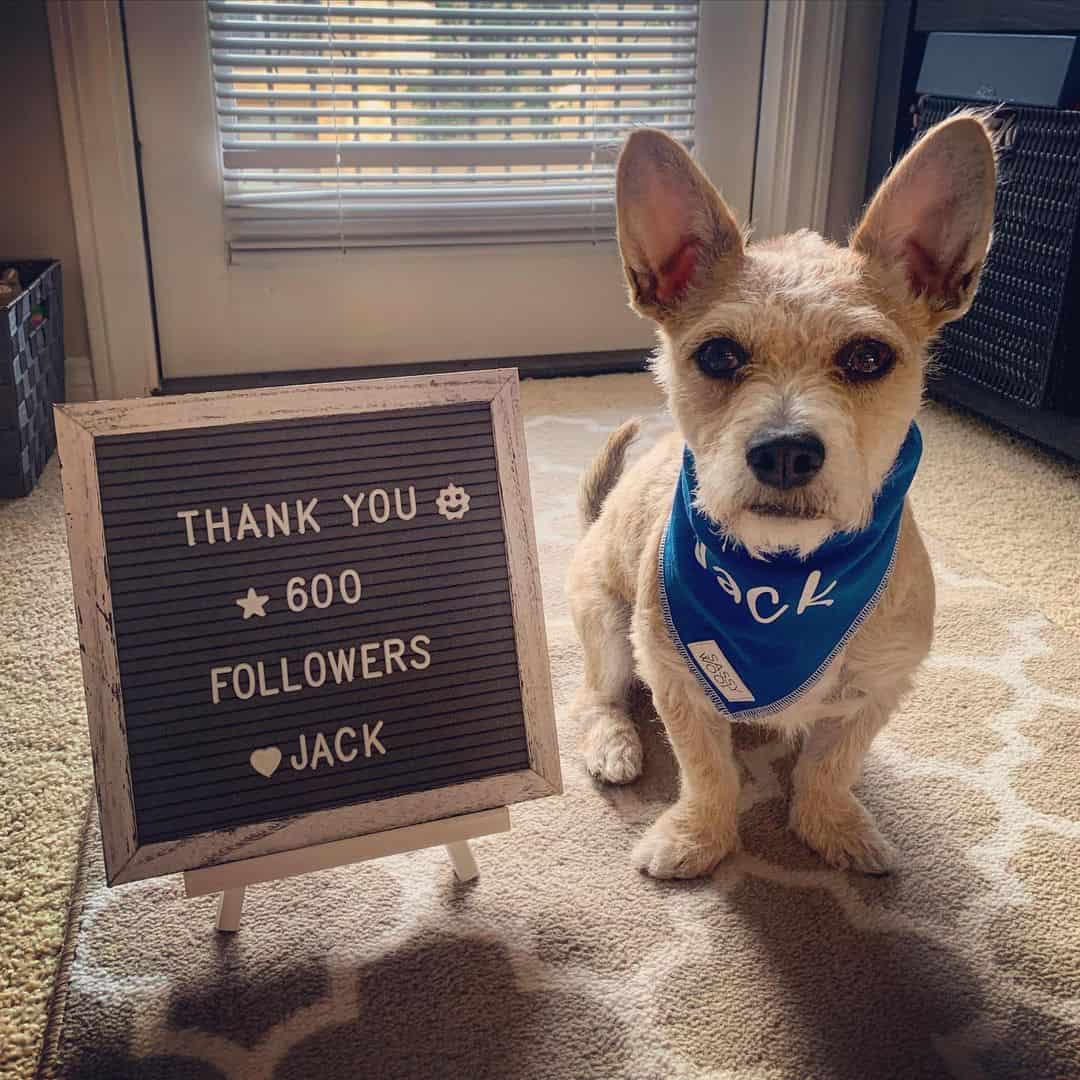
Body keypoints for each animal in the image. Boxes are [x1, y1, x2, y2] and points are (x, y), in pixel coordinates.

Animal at [570, 116, 997, 876]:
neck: (785, 584)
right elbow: (707, 770)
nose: (786, 450)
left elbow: (831, 766)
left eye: (867, 357)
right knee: (595, 697)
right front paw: (699, 837)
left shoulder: (875, 690)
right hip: (608, 630)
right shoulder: (677, 681)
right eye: (717, 355)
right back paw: (614, 744)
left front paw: (831, 825)